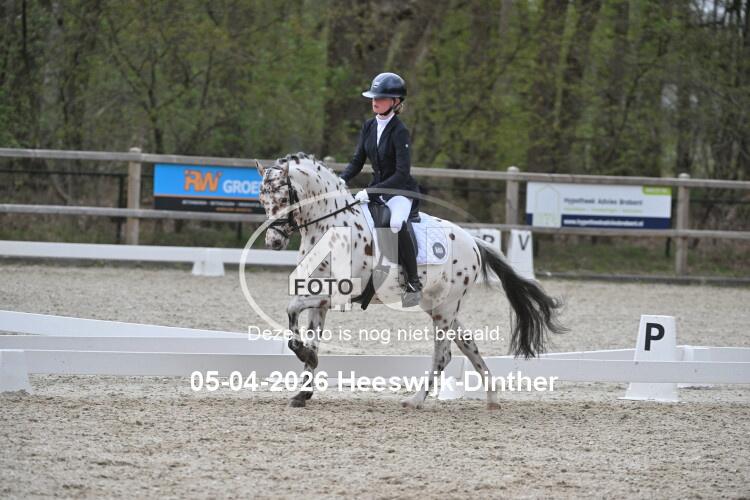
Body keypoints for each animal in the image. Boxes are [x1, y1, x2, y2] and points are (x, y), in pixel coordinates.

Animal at [256, 152, 565, 408]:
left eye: (283, 199)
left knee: (443, 355)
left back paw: (416, 400)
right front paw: (303, 389)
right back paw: (492, 399)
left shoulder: (339, 294)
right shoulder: (318, 295)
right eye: (262, 201)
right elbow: (308, 332)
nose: (273, 242)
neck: (329, 226)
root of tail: (473, 241)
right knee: (467, 344)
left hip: (444, 309)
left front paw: (304, 357)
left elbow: (292, 309)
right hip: (440, 306)